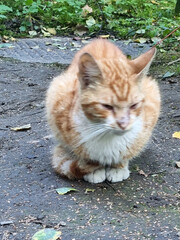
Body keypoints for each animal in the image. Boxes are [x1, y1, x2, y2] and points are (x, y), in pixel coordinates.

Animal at [45, 38, 161, 183]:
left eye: (134, 105)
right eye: (107, 106)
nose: (123, 124)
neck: (105, 135)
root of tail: (100, 39)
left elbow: (127, 153)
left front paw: (118, 166)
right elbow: (84, 154)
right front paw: (94, 168)